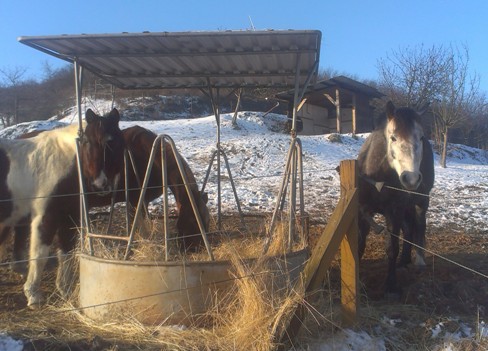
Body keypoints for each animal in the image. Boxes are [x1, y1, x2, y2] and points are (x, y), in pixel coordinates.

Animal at [0, 110, 126, 308]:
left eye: (114, 142)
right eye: (86, 141)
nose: (99, 184)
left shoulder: (70, 218)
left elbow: (66, 252)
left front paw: (65, 291)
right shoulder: (46, 218)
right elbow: (40, 255)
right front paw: (33, 295)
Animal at [358, 101, 434, 294]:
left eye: (421, 138)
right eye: (393, 138)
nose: (411, 178)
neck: (377, 178)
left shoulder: (394, 212)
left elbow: (392, 248)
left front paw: (391, 286)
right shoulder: (363, 212)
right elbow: (360, 245)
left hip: (421, 201)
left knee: (419, 225)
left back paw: (418, 261)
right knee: (408, 230)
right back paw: (403, 262)